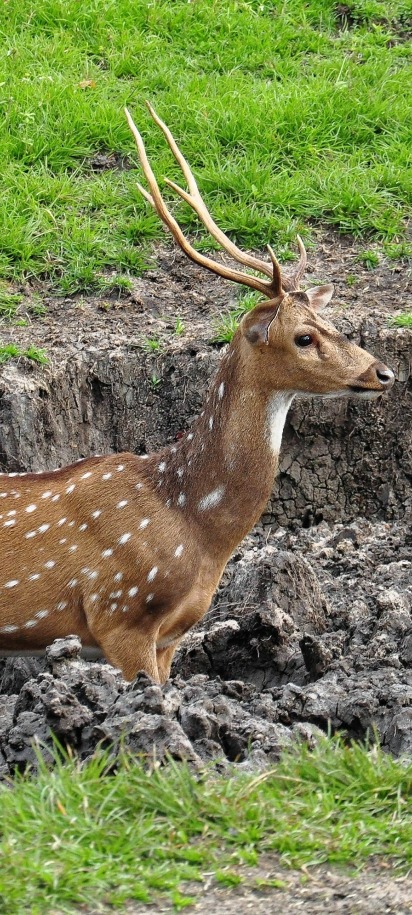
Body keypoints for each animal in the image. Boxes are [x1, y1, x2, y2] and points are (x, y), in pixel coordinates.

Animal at [0, 104, 394, 683]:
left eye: (333, 322)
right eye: (303, 336)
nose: (383, 373)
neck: (195, 527)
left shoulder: (171, 636)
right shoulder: (121, 615)